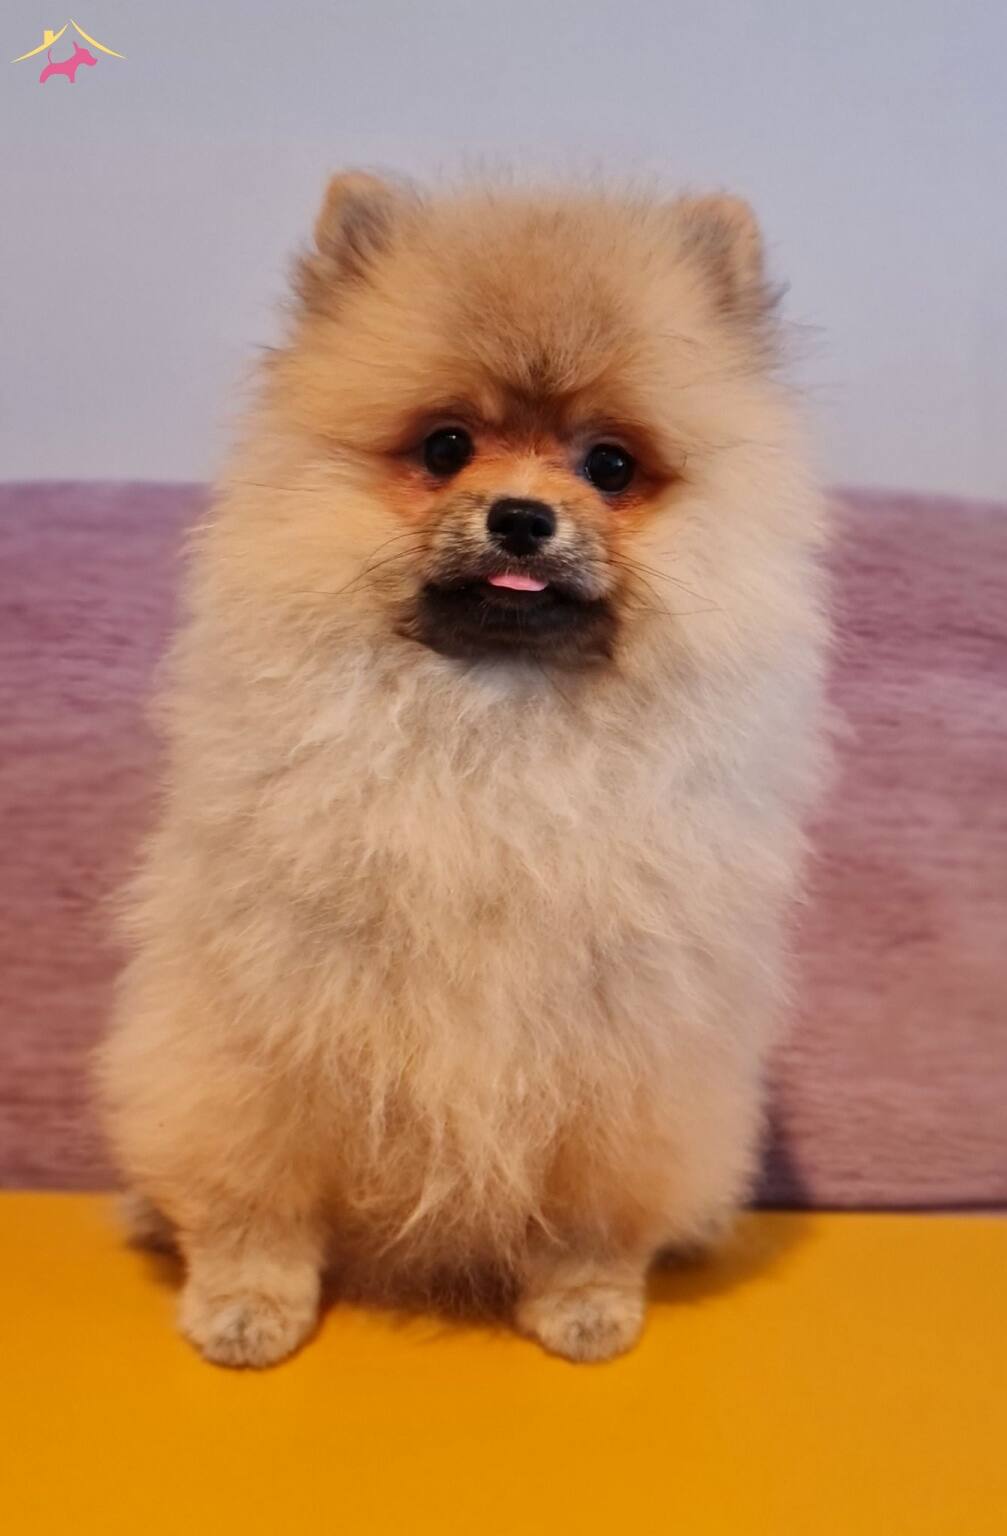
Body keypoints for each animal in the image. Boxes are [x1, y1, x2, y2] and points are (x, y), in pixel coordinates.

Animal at [97, 174, 831, 1366]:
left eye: (609, 466)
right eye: (446, 447)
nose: (520, 517)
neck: (494, 715)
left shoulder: (622, 1056)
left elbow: (589, 1213)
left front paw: (583, 1299)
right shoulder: (266, 1027)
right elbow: (255, 1196)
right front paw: (248, 1299)